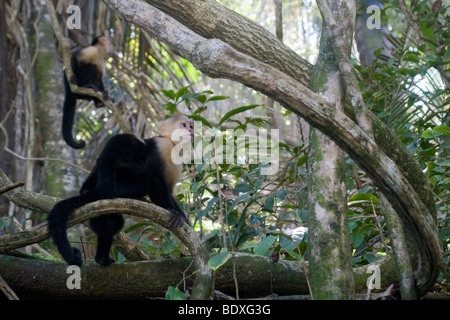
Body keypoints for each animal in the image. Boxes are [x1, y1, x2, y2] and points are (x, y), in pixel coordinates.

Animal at [48, 116, 194, 266]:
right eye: (183, 125)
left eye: (191, 126)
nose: (190, 130)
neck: (172, 144)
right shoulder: (163, 146)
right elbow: (157, 184)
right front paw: (175, 212)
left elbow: (168, 189)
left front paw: (183, 218)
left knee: (109, 224)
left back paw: (101, 259)